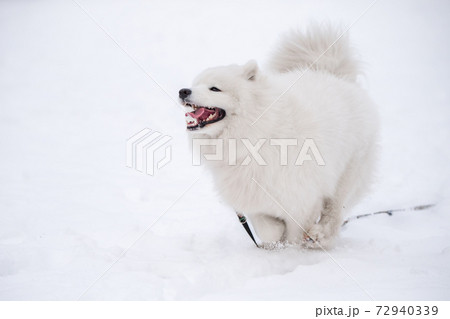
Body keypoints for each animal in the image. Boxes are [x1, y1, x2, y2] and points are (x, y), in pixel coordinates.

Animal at [179, 25, 380, 250]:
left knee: (335, 211)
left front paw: (290, 250)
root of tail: (331, 73)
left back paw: (320, 236)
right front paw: (273, 242)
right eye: (196, 84)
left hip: (348, 173)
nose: (183, 91)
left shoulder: (302, 197)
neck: (255, 135)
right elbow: (267, 229)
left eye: (215, 88)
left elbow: (295, 232)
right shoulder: (249, 193)